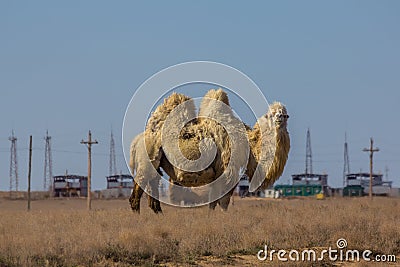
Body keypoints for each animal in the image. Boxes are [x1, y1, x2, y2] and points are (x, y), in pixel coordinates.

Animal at [130, 89, 290, 215]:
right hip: (148, 159)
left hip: (156, 164)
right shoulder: (227, 171)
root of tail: (137, 139)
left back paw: (158, 214)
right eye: (271, 114)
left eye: (284, 114)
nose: (279, 118)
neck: (249, 144)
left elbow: (213, 203)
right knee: (137, 191)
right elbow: (223, 202)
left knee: (153, 188)